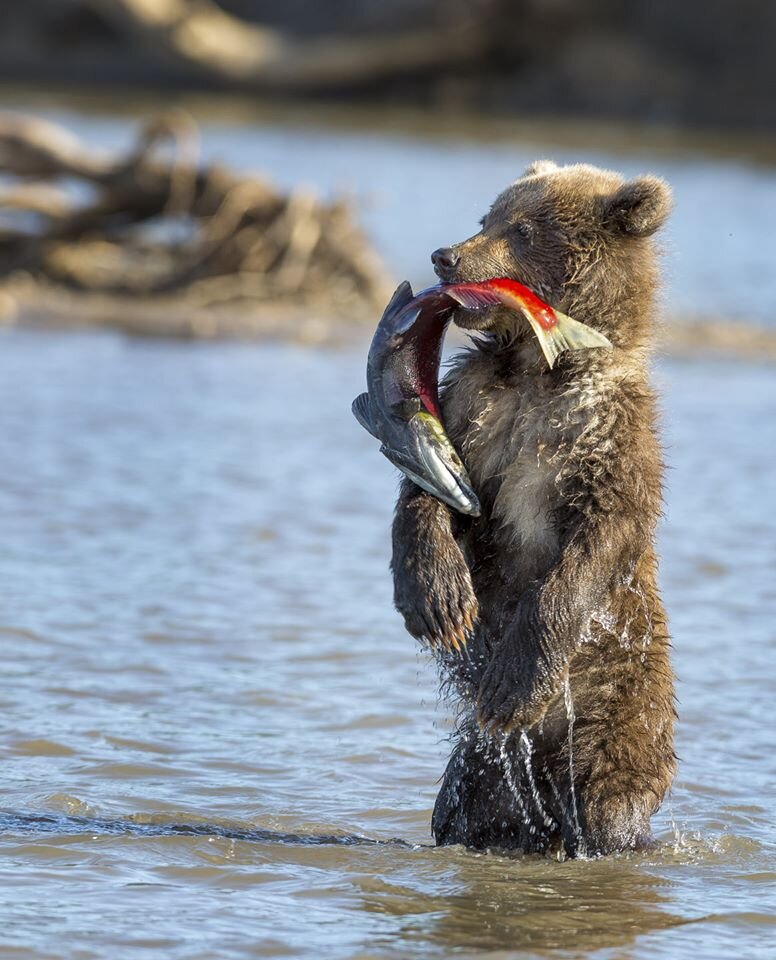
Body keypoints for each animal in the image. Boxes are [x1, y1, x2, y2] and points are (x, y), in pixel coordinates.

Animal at [392, 161, 676, 860]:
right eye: (486, 217)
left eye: (522, 230)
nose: (446, 255)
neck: (538, 366)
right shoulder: (477, 408)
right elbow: (431, 490)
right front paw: (439, 602)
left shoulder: (603, 433)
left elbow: (597, 540)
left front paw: (512, 682)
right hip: (481, 767)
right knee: (462, 807)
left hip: (618, 712)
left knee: (609, 804)